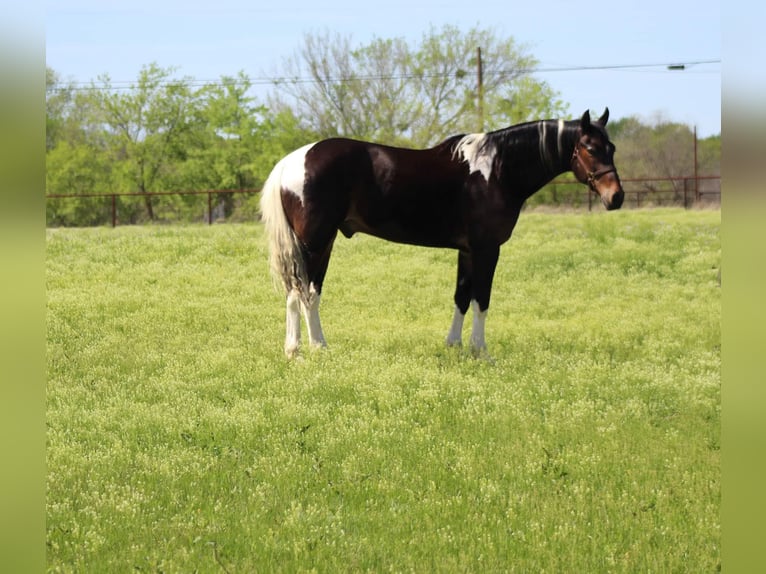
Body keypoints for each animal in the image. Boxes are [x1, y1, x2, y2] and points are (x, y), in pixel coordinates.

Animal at [262, 109, 624, 358]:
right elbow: (481, 299)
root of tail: (292, 161)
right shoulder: (486, 249)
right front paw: (481, 352)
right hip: (314, 243)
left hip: (319, 245)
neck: (497, 170)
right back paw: (306, 349)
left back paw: (307, 348)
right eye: (590, 148)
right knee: (303, 292)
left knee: (304, 292)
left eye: (612, 147)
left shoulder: (467, 251)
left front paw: (454, 346)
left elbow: (461, 297)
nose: (616, 197)